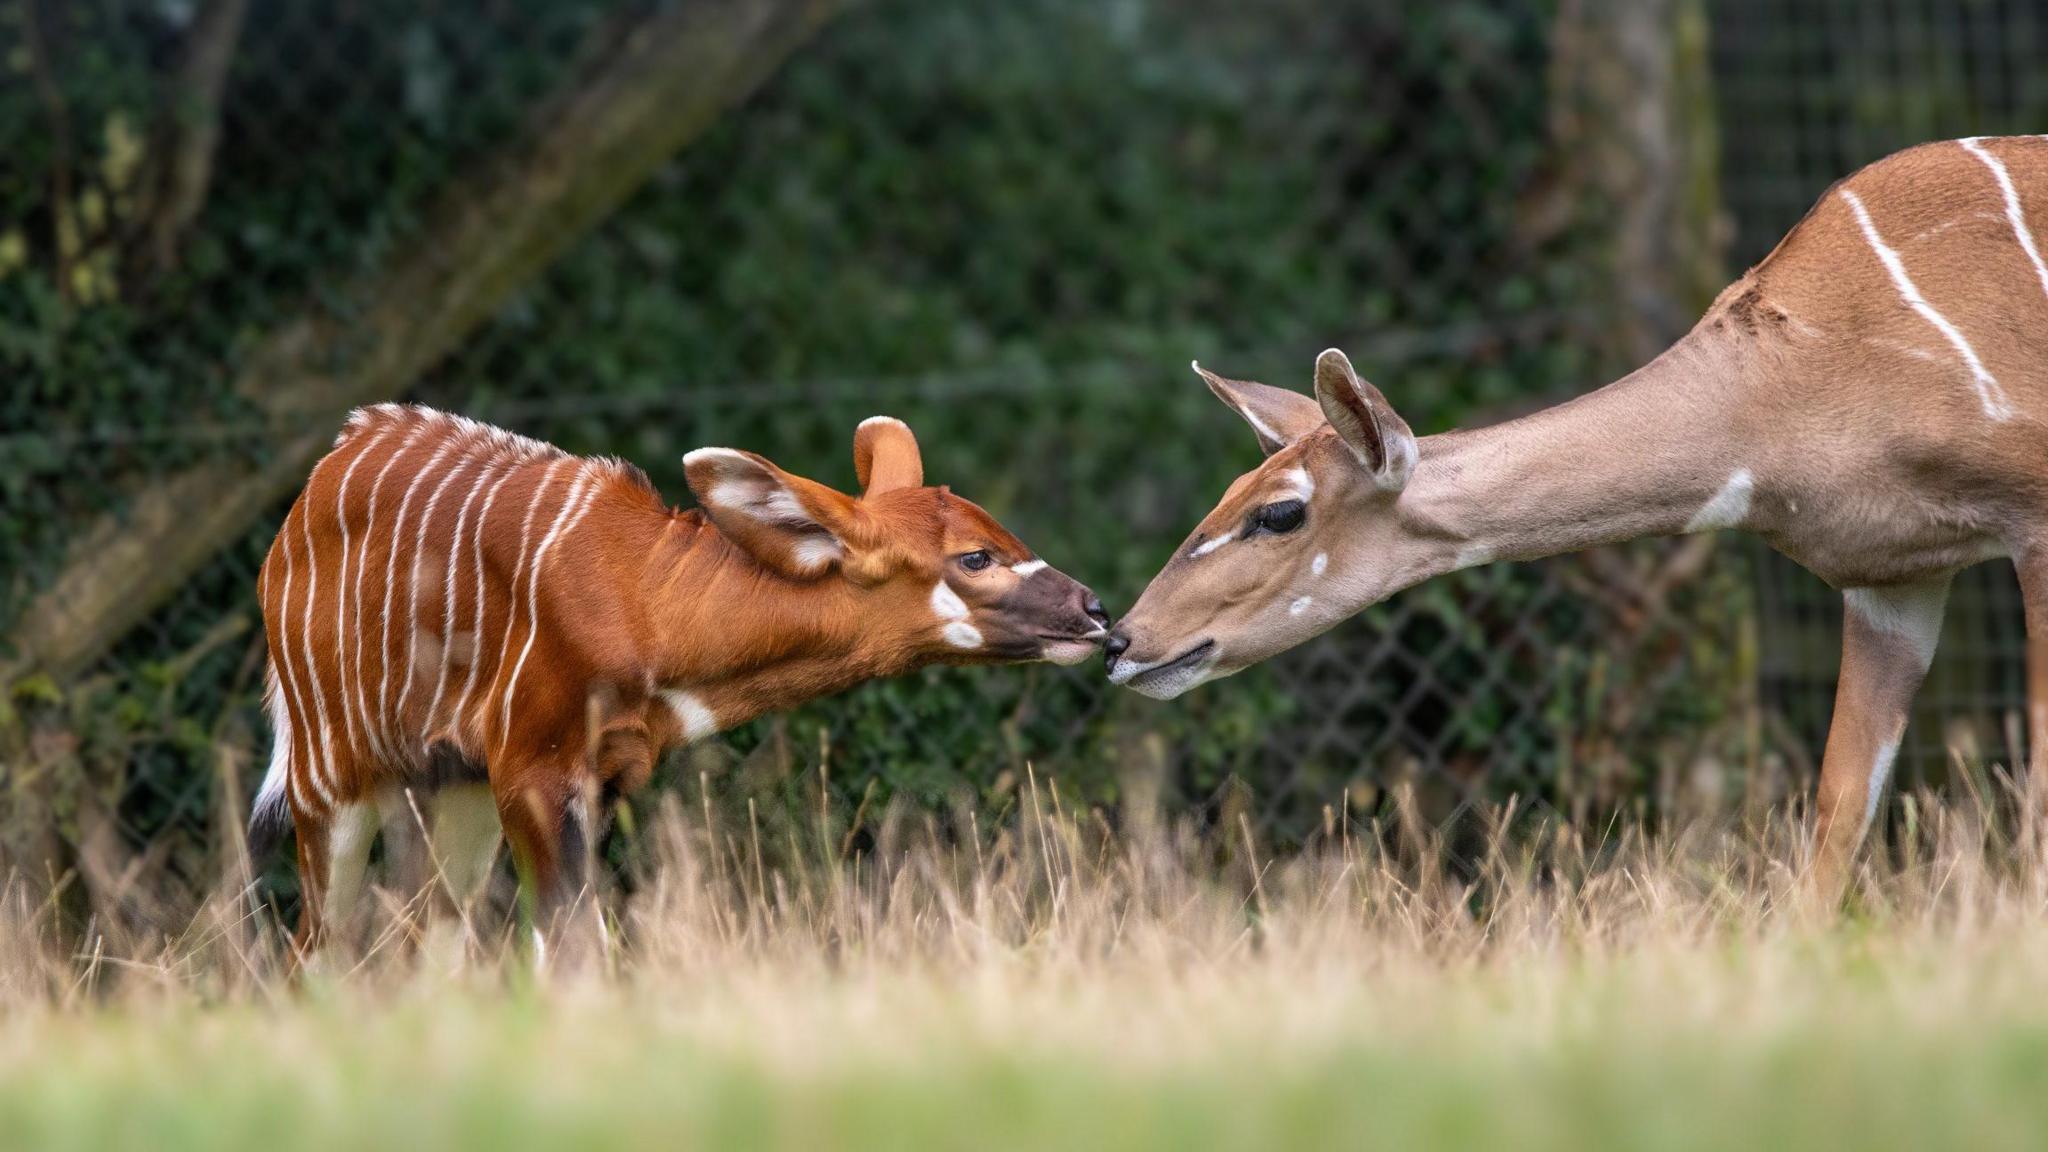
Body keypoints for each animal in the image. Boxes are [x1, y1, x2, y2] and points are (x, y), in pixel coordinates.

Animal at [260, 407, 1122, 947]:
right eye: (976, 557)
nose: (1094, 611)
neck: (644, 598)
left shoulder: (592, 778)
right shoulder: (535, 771)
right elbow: (568, 945)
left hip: (452, 791)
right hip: (329, 778)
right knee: (317, 946)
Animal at [1114, 132, 2048, 889]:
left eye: (1279, 514)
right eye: (1227, 494)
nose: (1124, 639)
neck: (1778, 396)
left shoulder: (2029, 520)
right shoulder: (1890, 578)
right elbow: (1837, 816)